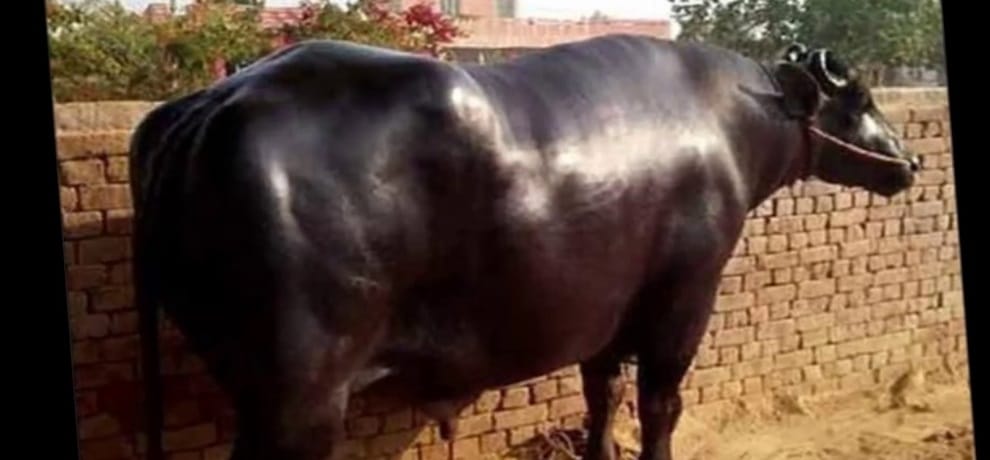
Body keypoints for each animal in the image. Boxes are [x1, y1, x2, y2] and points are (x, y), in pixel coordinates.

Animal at [129, 34, 919, 460]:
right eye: (861, 102)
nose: (908, 162)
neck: (729, 121)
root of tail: (214, 103)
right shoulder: (685, 298)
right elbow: (660, 403)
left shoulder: (605, 311)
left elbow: (602, 395)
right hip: (300, 398)